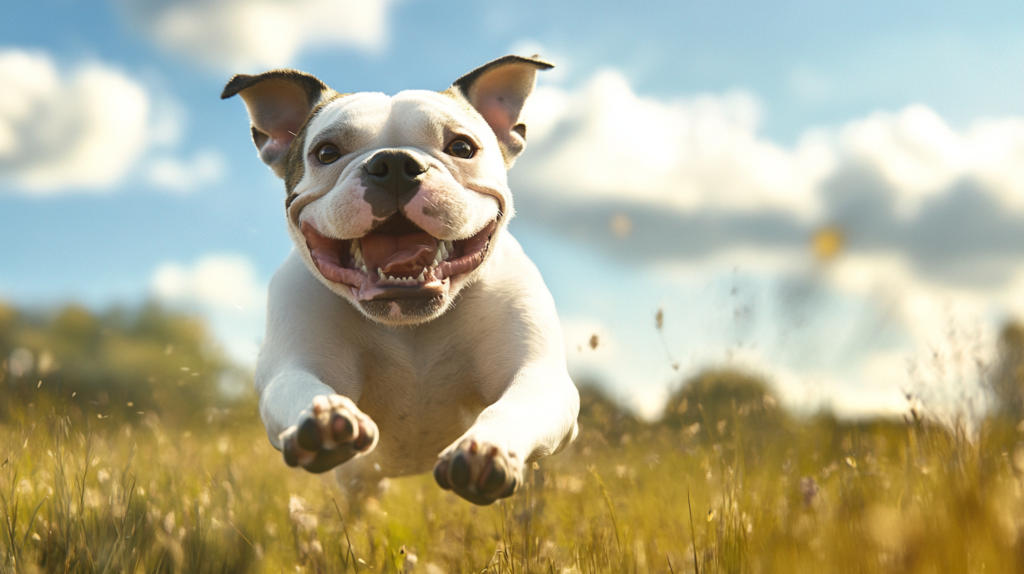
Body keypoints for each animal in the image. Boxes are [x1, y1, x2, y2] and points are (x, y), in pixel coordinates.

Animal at [221, 56, 581, 503]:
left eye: (462, 147)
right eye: (326, 152)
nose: (393, 163)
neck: (410, 325)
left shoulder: (536, 373)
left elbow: (514, 403)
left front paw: (487, 448)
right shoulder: (294, 362)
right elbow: (298, 385)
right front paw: (321, 419)